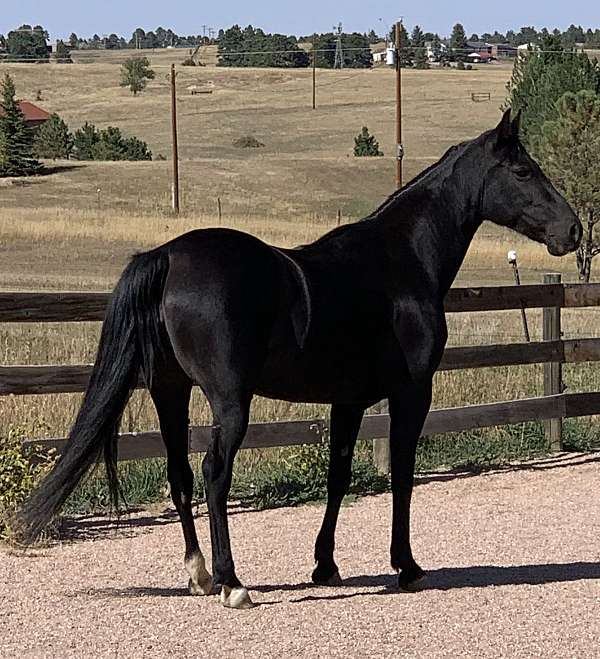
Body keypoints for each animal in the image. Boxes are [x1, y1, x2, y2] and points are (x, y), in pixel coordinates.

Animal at [16, 111, 580, 612]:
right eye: (524, 171)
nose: (573, 231)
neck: (402, 260)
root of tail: (170, 256)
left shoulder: (348, 402)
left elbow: (339, 476)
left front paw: (325, 565)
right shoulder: (412, 393)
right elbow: (401, 473)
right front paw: (407, 566)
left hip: (169, 392)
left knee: (179, 474)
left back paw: (199, 575)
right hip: (229, 401)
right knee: (213, 472)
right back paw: (231, 583)